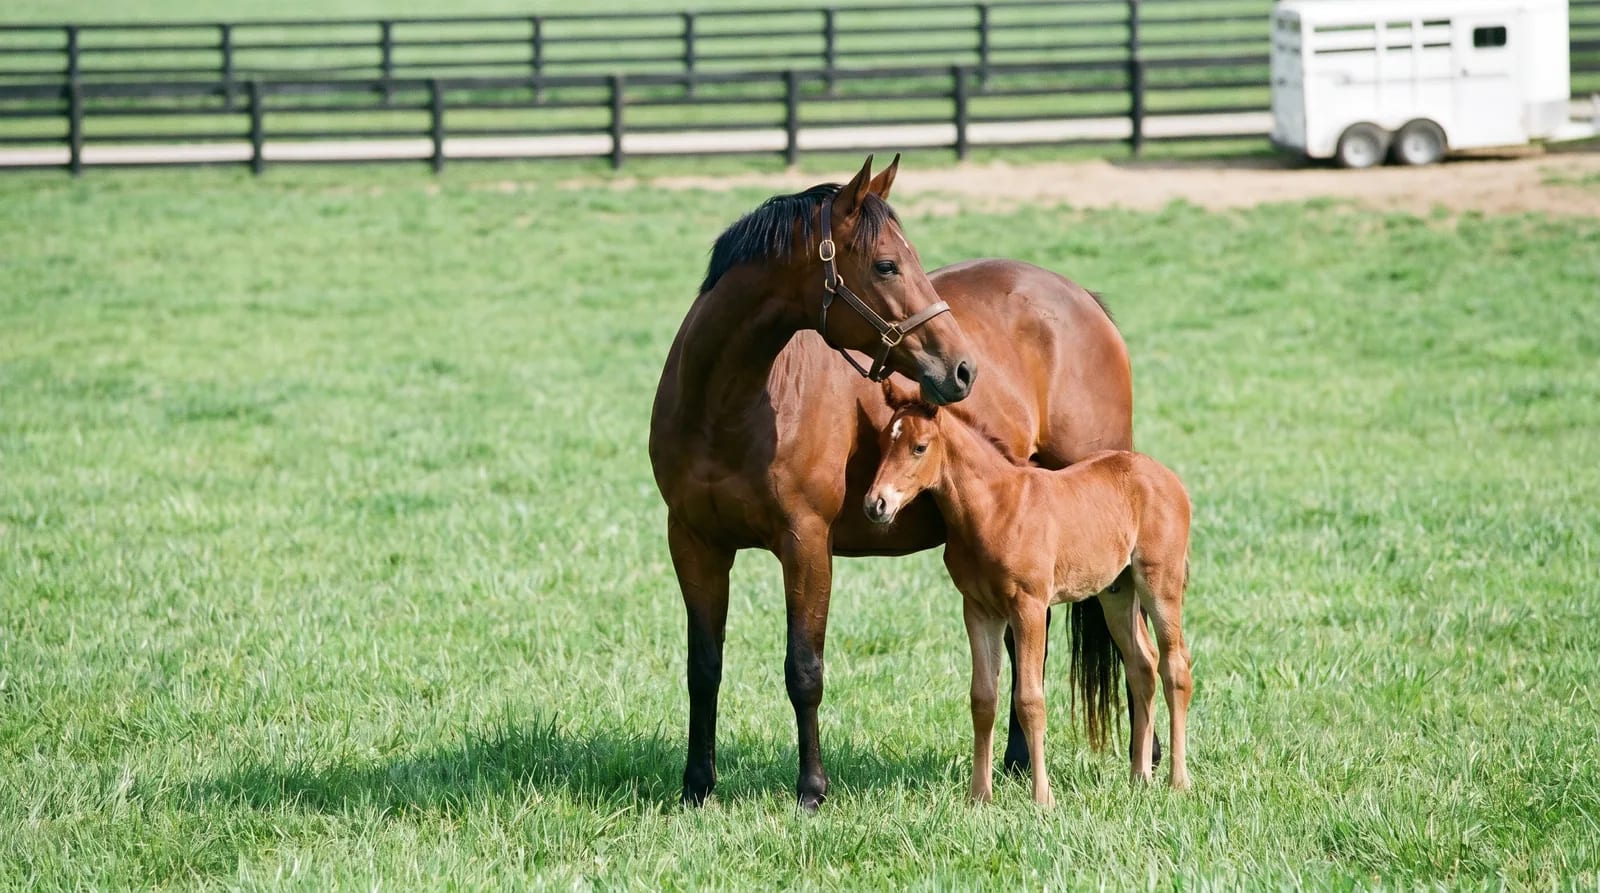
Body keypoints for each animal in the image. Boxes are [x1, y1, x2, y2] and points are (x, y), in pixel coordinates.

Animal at [649, 155, 1140, 809]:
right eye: (887, 264)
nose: (963, 369)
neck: (728, 407)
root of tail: (1083, 300)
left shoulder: (806, 544)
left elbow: (804, 669)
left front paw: (812, 791)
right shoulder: (694, 544)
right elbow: (703, 669)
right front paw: (696, 787)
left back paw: (1147, 761)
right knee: (1026, 647)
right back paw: (1014, 763)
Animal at [864, 388, 1193, 805]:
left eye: (919, 447)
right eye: (881, 443)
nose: (875, 505)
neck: (994, 509)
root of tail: (1169, 479)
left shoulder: (1030, 607)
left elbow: (1030, 700)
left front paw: (1042, 798)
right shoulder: (979, 610)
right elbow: (983, 699)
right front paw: (978, 797)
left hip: (1159, 581)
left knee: (1175, 665)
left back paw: (1178, 781)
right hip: (1117, 591)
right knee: (1142, 665)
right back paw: (1139, 778)